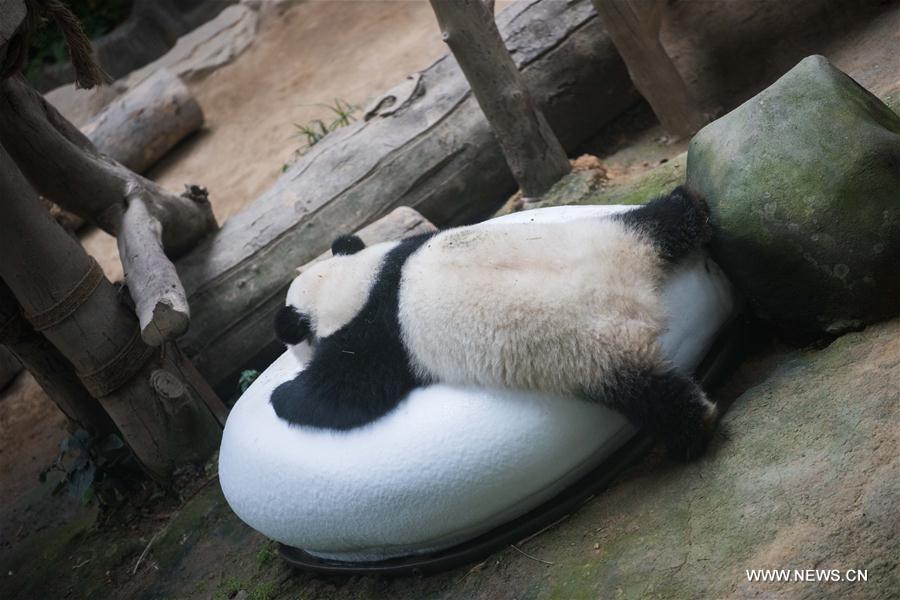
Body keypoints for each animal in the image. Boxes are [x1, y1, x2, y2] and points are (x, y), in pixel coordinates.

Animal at [272, 188, 716, 460]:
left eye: (293, 347)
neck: (364, 279)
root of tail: (635, 292)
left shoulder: (379, 335)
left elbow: (344, 396)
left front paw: (281, 395)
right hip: (613, 235)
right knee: (662, 219)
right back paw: (694, 205)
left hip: (592, 348)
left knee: (651, 396)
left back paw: (695, 430)